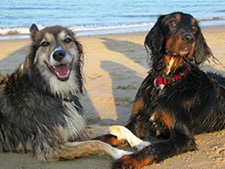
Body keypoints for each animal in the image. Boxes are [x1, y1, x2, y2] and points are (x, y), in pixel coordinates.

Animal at [0, 24, 149, 162]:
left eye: (67, 40)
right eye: (44, 43)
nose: (58, 54)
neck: (51, 92)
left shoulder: (77, 129)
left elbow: (118, 127)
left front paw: (139, 142)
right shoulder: (49, 148)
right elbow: (96, 143)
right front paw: (121, 153)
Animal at [113, 11, 225, 168]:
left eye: (194, 28)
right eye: (172, 22)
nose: (189, 38)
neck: (166, 80)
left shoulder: (184, 137)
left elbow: (152, 147)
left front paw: (128, 160)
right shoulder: (138, 120)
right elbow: (110, 134)